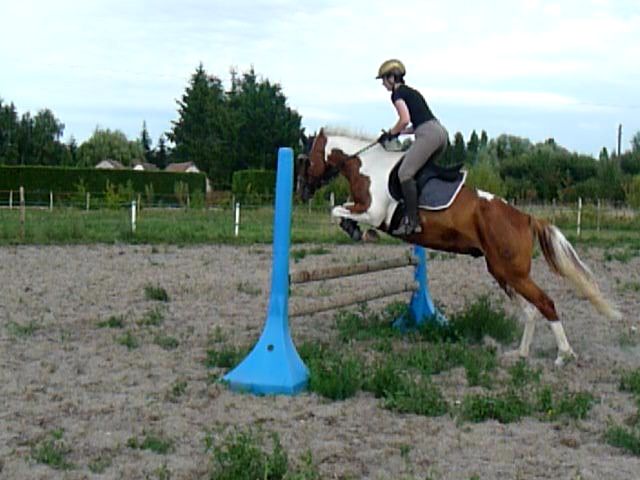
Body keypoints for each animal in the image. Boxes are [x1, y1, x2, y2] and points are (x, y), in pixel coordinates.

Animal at [295, 127, 621, 366]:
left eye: (307, 160)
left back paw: (564, 355)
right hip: (501, 271)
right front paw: (358, 232)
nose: (302, 193)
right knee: (530, 311)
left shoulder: (373, 212)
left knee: (546, 303)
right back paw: (519, 354)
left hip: (513, 273)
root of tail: (525, 217)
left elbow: (337, 210)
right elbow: (339, 210)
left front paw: (358, 232)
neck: (368, 166)